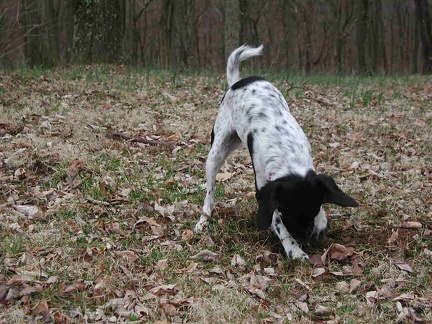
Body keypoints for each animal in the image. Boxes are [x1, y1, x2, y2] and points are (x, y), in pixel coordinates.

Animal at [195, 45, 358, 260]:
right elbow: (276, 222)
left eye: (313, 211)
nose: (305, 239)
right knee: (210, 194)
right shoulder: (264, 189)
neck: (288, 154)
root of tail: (238, 82)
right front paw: (294, 249)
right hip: (216, 153)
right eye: (287, 212)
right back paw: (203, 219)